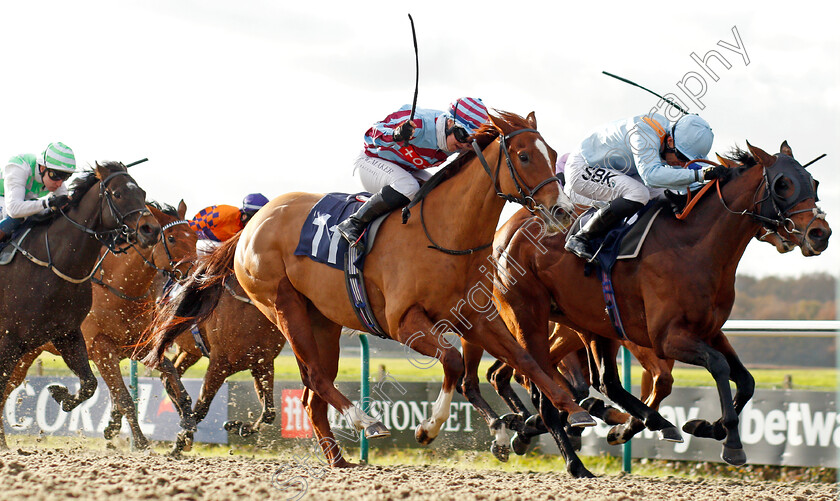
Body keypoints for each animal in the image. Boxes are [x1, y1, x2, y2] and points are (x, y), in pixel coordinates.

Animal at [146, 109, 596, 464]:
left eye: (551, 154)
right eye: (524, 156)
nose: (562, 210)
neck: (445, 234)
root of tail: (254, 222)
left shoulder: (474, 317)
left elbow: (527, 360)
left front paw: (572, 411)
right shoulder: (404, 323)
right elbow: (452, 362)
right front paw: (428, 429)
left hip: (322, 321)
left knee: (312, 397)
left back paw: (339, 460)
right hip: (281, 305)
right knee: (316, 379)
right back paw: (366, 421)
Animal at [476, 140, 832, 464]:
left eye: (813, 182)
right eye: (783, 184)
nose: (820, 233)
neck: (694, 246)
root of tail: (505, 232)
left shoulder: (709, 330)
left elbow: (746, 380)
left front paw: (705, 426)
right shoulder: (665, 337)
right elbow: (715, 367)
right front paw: (730, 441)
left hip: (589, 324)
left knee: (601, 382)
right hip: (528, 316)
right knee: (534, 372)